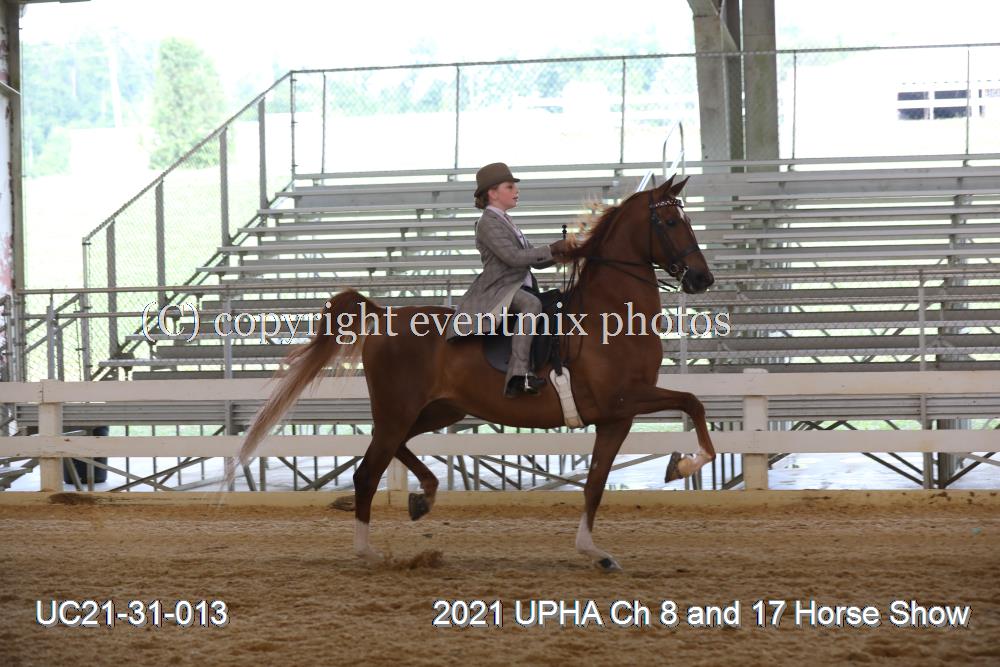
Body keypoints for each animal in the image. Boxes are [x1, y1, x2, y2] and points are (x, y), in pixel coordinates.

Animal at [228, 175, 716, 572]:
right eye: (670, 223)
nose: (702, 279)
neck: (608, 315)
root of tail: (384, 314)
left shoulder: (617, 418)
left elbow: (595, 483)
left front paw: (594, 551)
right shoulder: (624, 398)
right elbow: (693, 402)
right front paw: (683, 464)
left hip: (438, 411)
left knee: (395, 450)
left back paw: (423, 496)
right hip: (398, 411)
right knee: (368, 472)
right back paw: (369, 552)